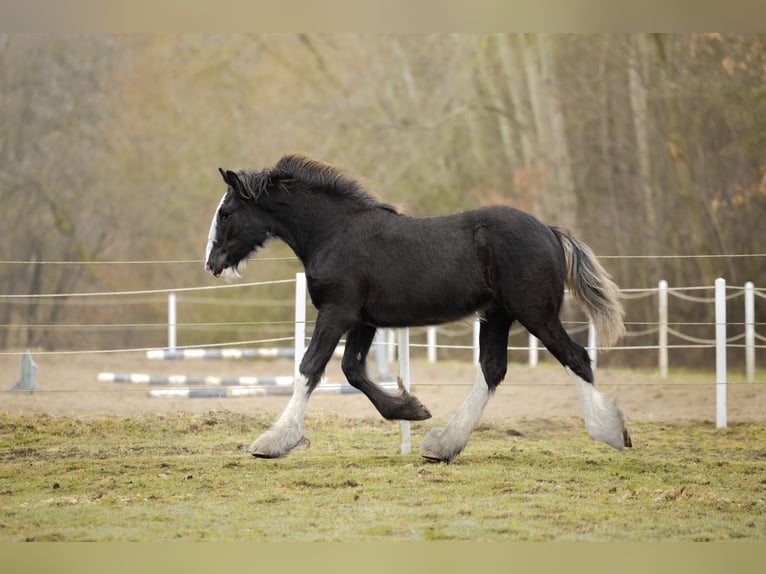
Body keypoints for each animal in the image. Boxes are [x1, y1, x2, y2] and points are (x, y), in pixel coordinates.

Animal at [205, 154, 631, 463]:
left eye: (226, 213)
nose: (212, 264)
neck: (334, 233)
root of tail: (550, 232)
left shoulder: (337, 312)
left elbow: (310, 368)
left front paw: (273, 441)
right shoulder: (362, 320)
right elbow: (353, 371)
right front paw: (412, 408)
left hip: (535, 313)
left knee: (576, 357)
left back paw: (611, 431)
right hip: (497, 315)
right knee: (492, 371)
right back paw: (442, 445)